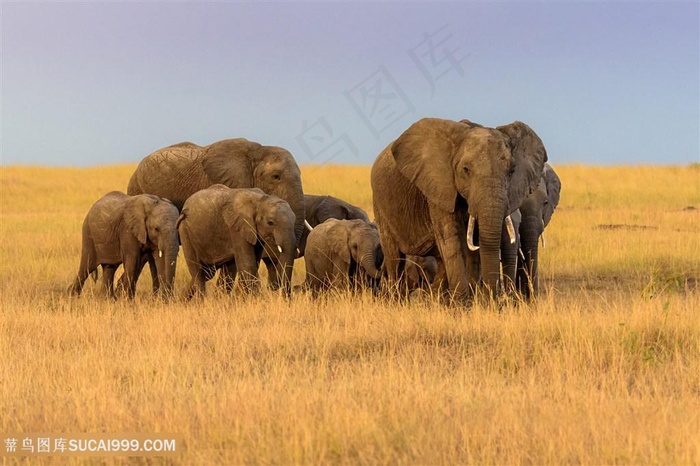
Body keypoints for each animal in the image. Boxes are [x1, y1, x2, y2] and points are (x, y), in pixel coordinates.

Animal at [372, 116, 548, 302]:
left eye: (511, 171)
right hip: (380, 203)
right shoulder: (439, 186)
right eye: (466, 170)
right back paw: (397, 299)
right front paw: (464, 304)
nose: (496, 301)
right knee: (394, 258)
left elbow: (474, 246)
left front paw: (474, 303)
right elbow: (452, 238)